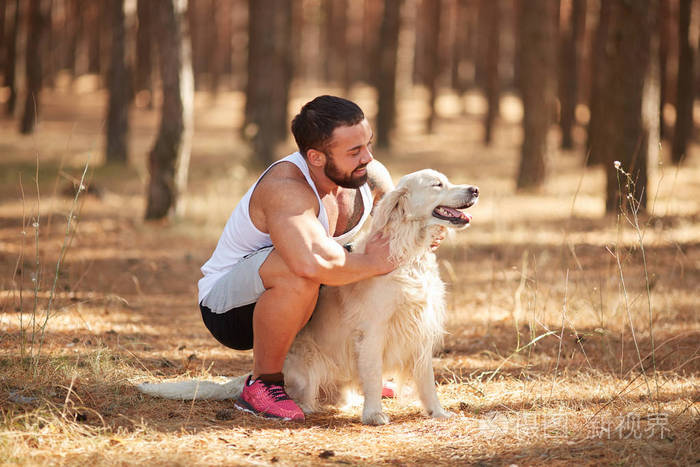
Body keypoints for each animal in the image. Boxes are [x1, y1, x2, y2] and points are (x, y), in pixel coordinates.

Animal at [137, 170, 476, 426]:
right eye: (437, 184)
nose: (474, 189)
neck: (410, 254)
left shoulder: (421, 329)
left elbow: (427, 380)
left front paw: (437, 412)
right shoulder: (374, 330)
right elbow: (373, 372)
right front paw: (374, 414)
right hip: (306, 368)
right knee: (302, 397)